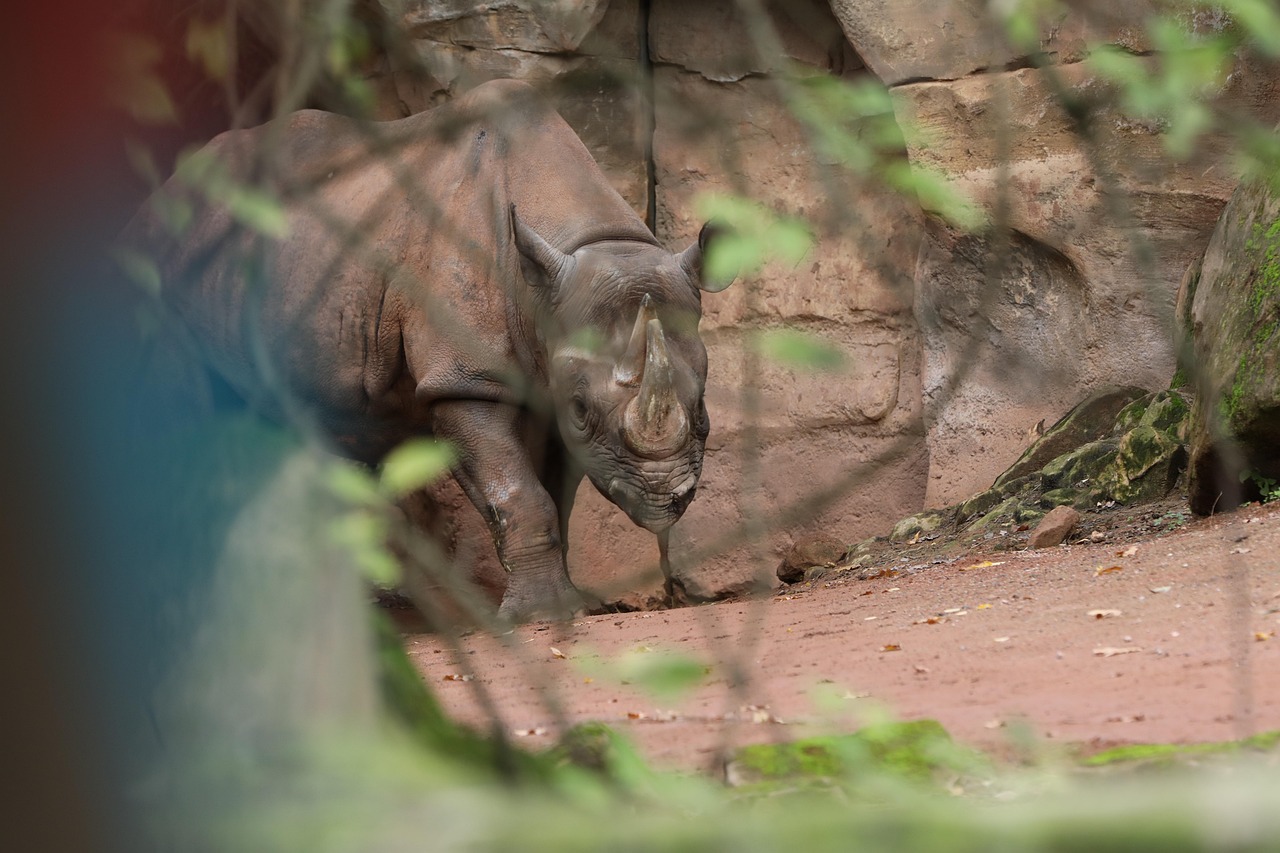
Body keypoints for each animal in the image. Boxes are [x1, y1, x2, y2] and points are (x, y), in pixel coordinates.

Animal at [124, 79, 734, 620]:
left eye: (704, 406)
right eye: (583, 409)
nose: (665, 497)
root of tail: (158, 199)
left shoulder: (547, 379)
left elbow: (552, 496)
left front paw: (566, 606)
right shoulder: (464, 379)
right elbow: (519, 493)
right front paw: (539, 615)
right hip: (157, 273)